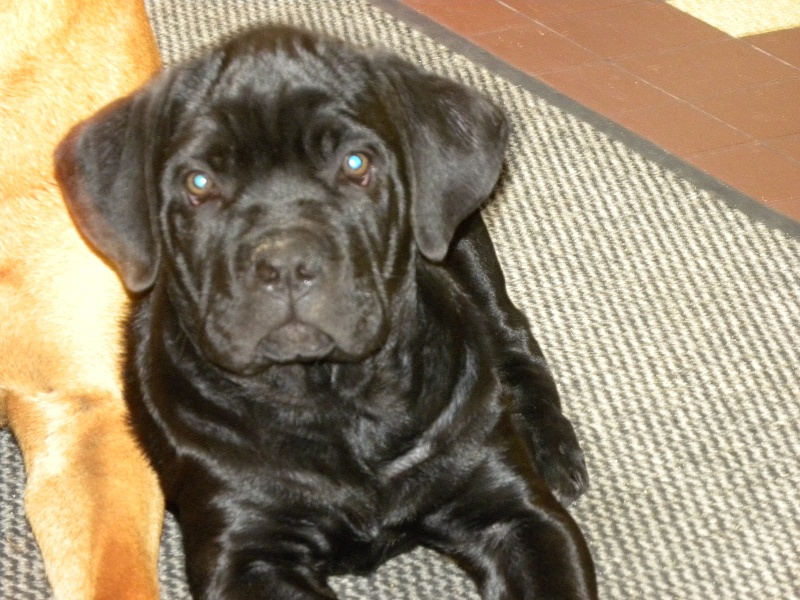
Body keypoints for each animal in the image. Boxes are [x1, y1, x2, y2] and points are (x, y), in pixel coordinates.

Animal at [57, 25, 595, 599]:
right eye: (198, 183)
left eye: (357, 165)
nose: (287, 261)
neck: (337, 400)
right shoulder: (246, 551)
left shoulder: (517, 515)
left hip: (464, 243)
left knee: (509, 331)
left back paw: (552, 445)